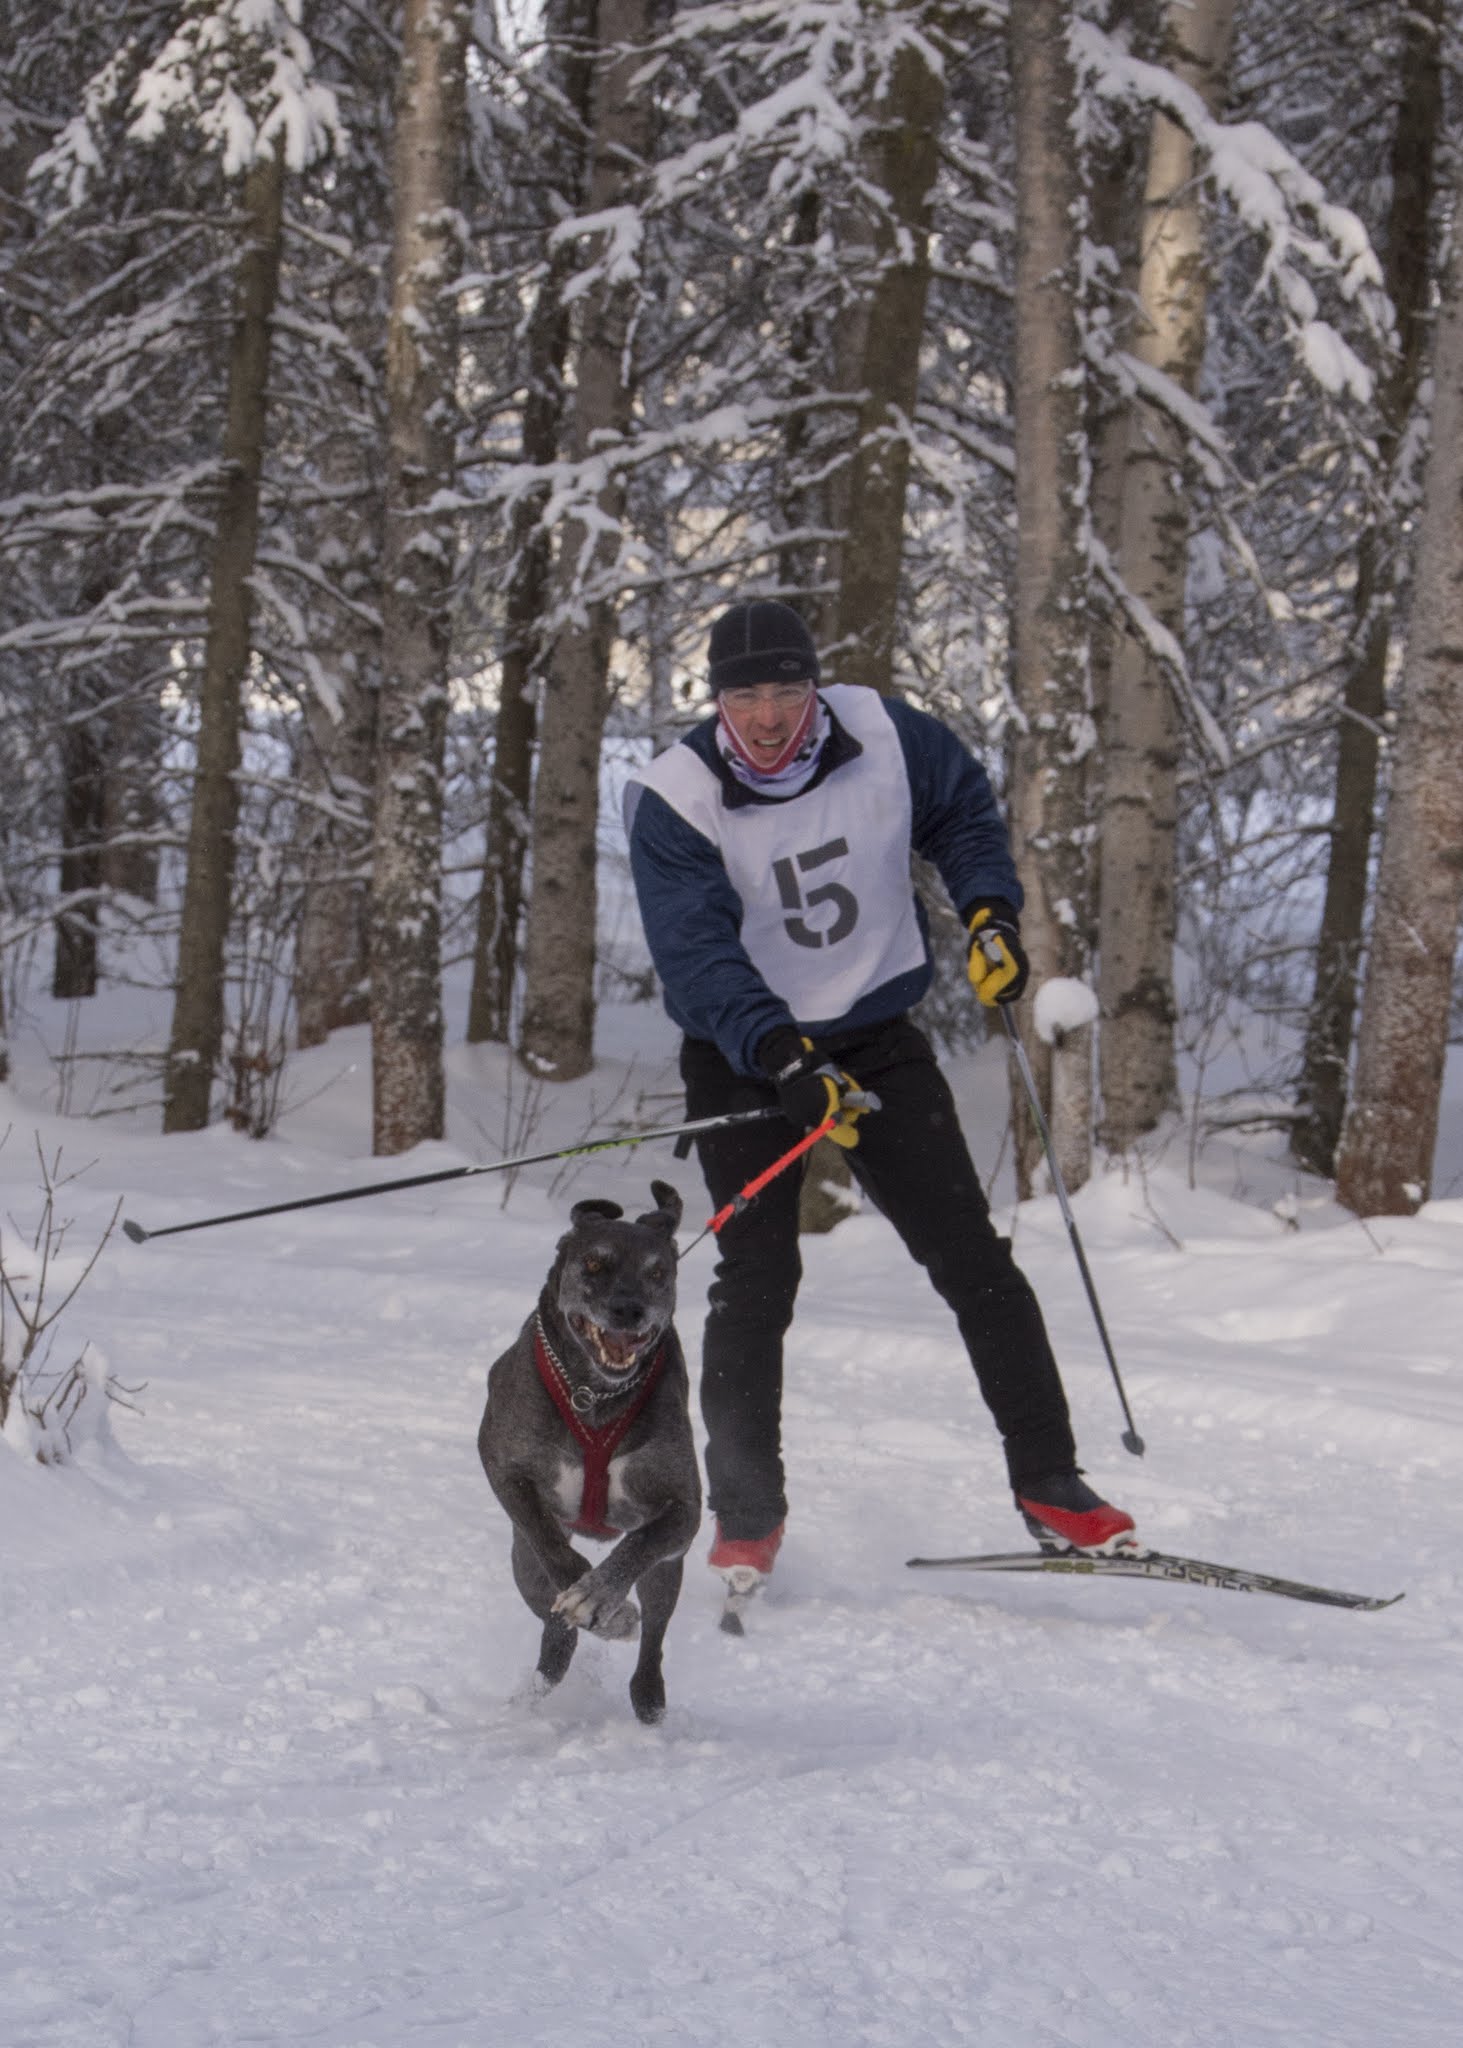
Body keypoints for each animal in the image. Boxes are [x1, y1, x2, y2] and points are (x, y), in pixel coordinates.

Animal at [479, 1179, 700, 1720]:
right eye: (595, 1264)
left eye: (657, 1272)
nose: (628, 1309)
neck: (594, 1395)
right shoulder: (504, 1469)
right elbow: (553, 1547)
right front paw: (601, 1607)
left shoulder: (683, 1508)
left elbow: (639, 1543)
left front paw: (599, 1598)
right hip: (523, 1569)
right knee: (554, 1624)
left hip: (668, 1572)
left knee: (654, 1631)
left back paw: (648, 1694)